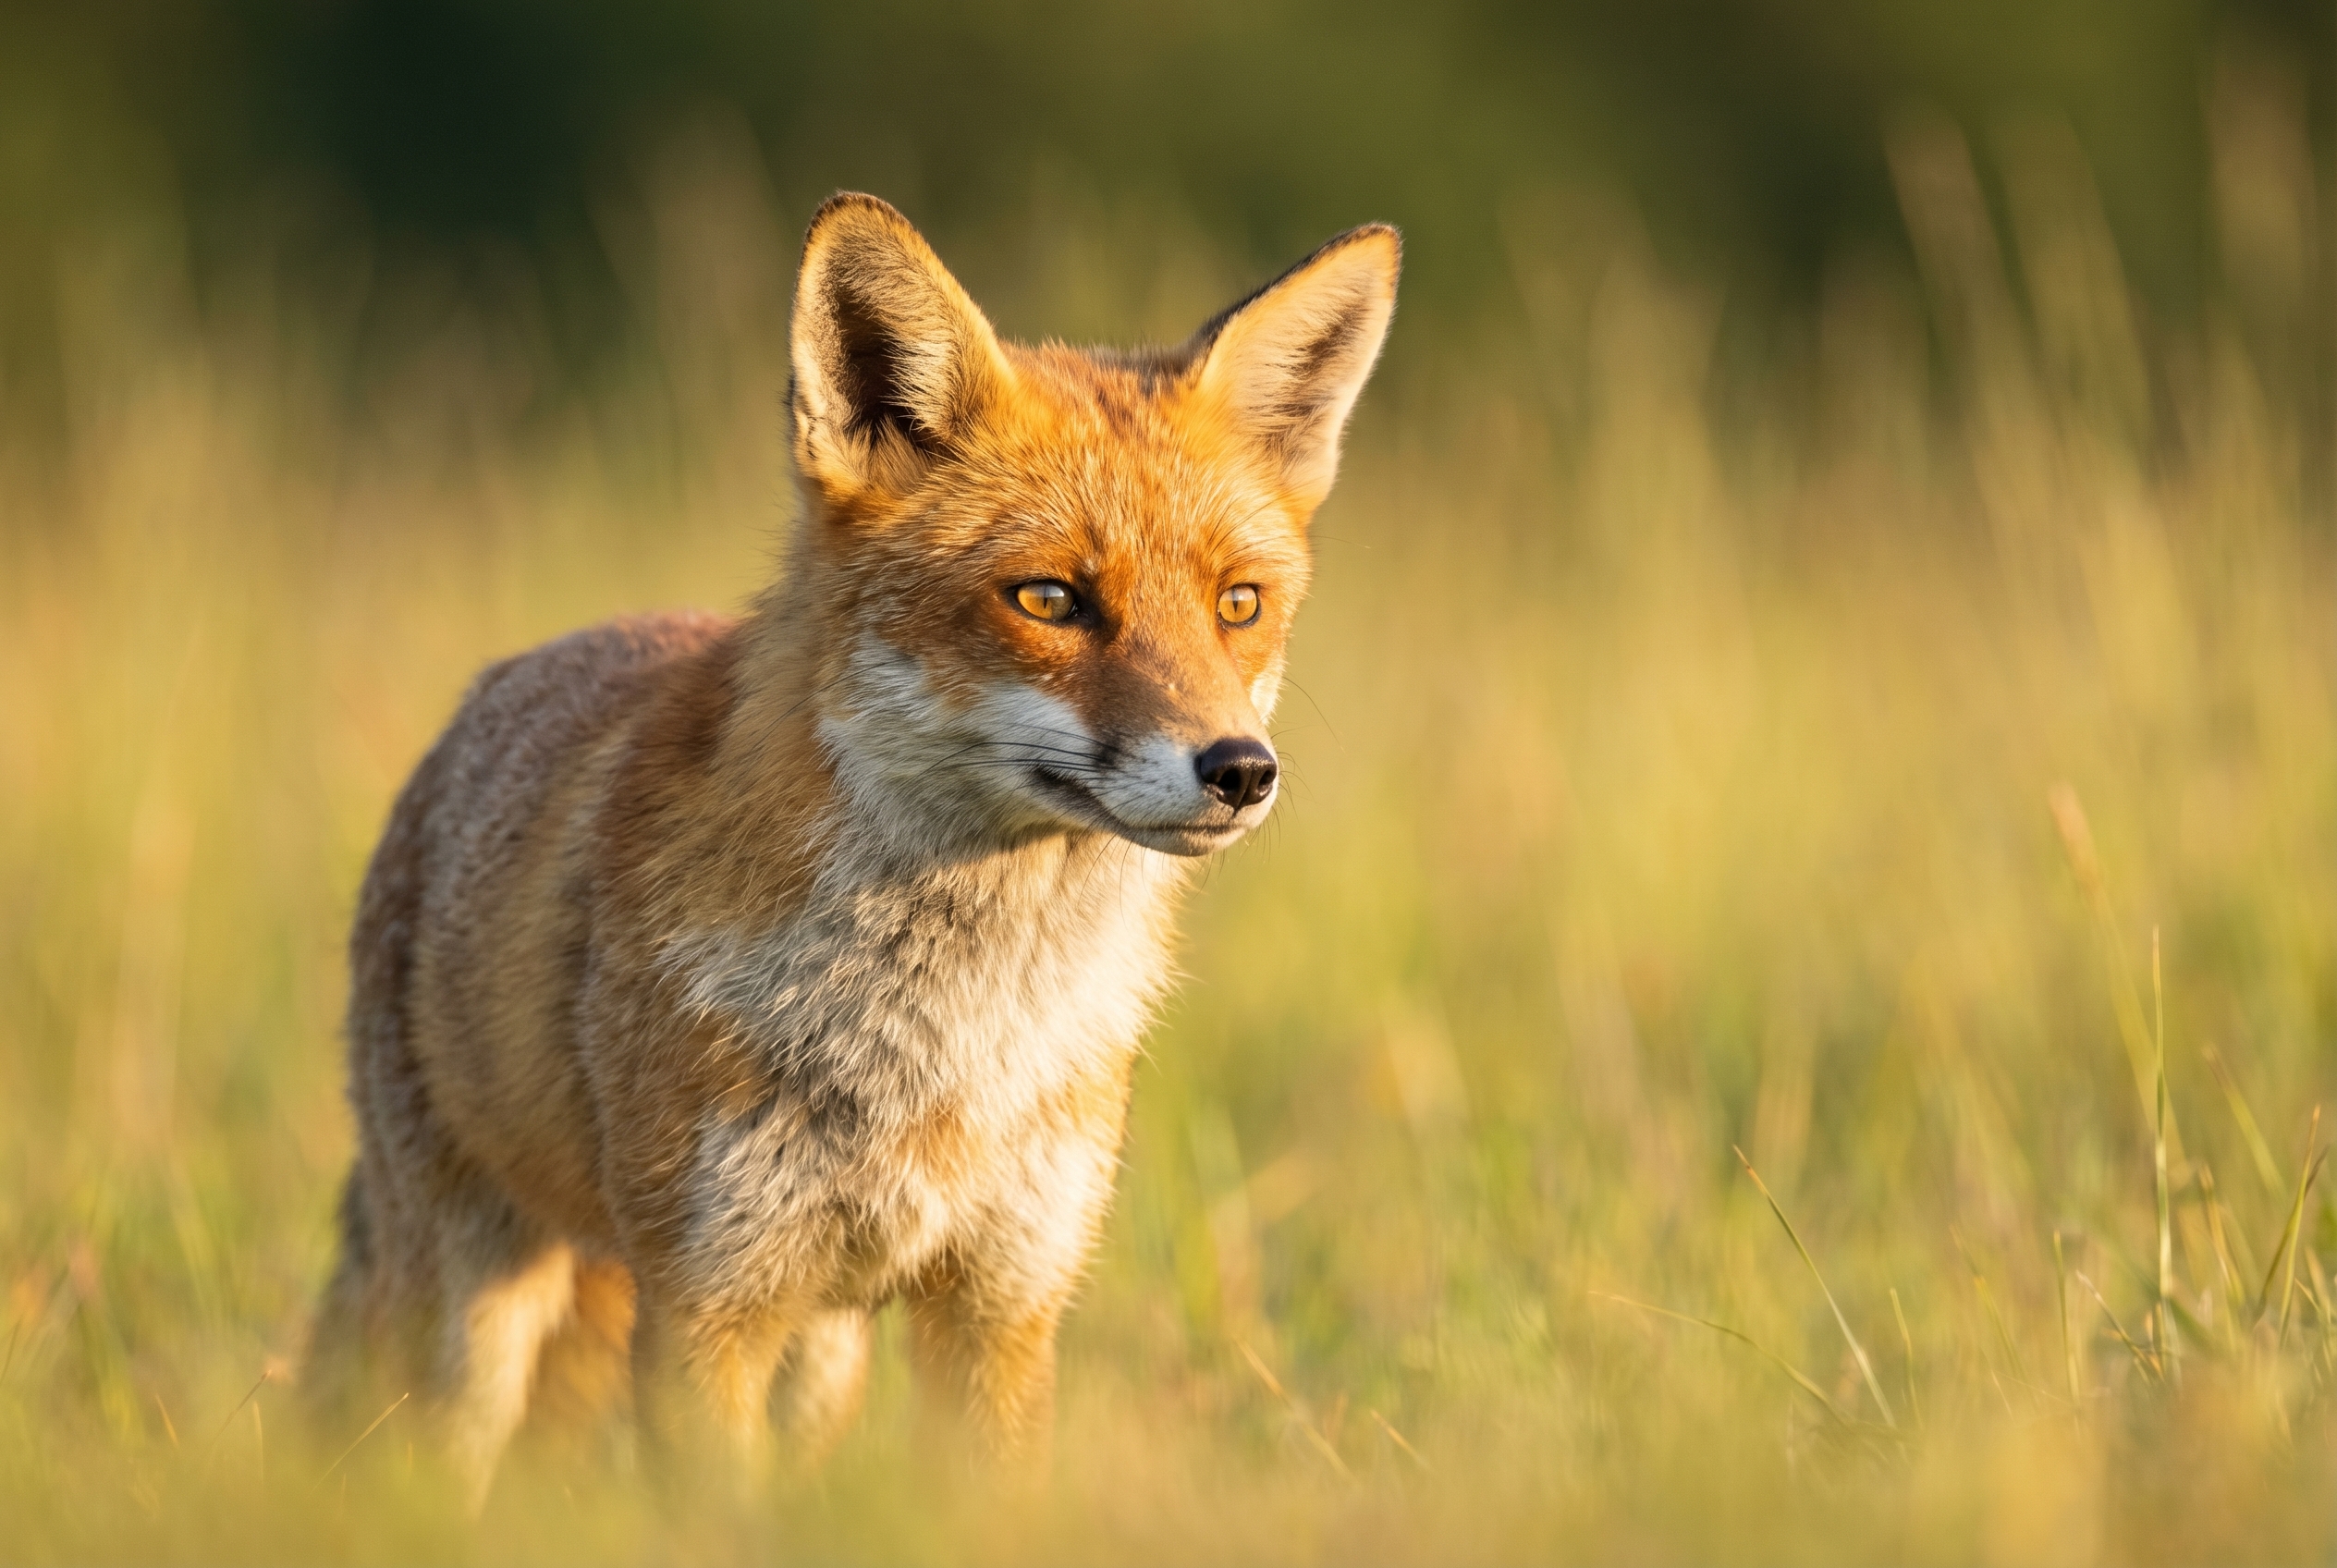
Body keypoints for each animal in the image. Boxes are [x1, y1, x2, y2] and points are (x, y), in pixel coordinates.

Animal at [303, 191, 1399, 1505]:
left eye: (1238, 604)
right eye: (1048, 600)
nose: (1237, 769)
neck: (946, 1047)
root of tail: (495, 687)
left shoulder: (1001, 1300)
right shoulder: (706, 1300)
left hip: (820, 1355)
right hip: (471, 1318)